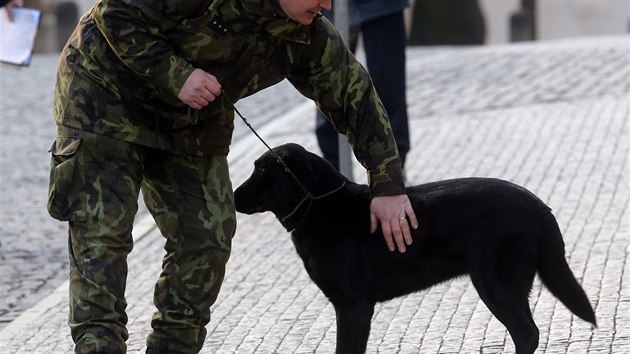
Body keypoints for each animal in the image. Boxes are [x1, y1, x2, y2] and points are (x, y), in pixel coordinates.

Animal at [233, 142, 596, 352]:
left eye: (262, 170)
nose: (233, 196)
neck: (321, 207)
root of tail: (538, 206)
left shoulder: (353, 307)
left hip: (495, 283)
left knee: (526, 333)